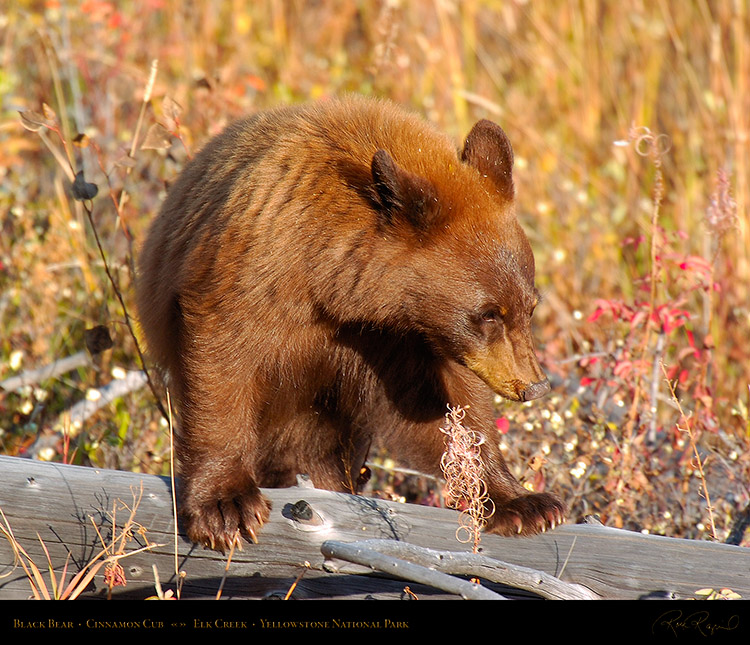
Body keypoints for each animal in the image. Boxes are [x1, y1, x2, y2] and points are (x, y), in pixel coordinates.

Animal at [138, 95, 568, 552]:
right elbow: (222, 360)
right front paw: (225, 506)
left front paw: (522, 502)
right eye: (488, 313)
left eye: (529, 307)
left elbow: (448, 410)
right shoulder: (252, 273)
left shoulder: (400, 340)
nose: (535, 385)